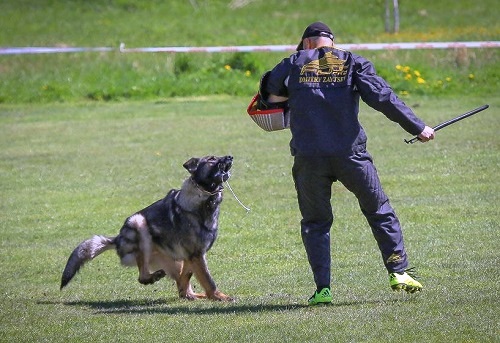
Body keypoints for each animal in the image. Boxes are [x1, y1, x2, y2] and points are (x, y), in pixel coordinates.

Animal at [60, 156, 234, 300]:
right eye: (211, 159)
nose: (230, 157)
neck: (203, 197)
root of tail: (117, 239)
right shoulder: (196, 255)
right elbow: (208, 279)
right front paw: (218, 296)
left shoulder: (191, 256)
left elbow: (189, 278)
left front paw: (211, 296)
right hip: (139, 223)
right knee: (143, 277)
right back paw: (155, 277)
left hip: (176, 260)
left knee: (181, 287)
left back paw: (193, 295)